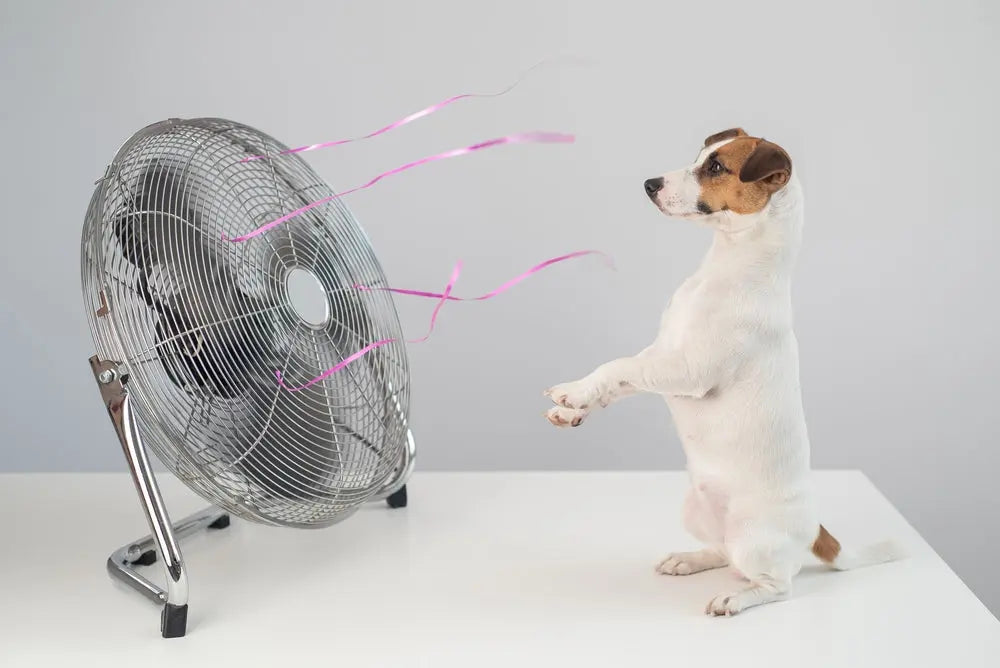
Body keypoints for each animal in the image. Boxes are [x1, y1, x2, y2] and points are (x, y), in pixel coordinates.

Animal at [544, 129, 904, 616]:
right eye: (699, 156)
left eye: (715, 167)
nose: (649, 184)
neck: (728, 266)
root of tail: (815, 530)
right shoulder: (660, 353)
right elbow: (618, 378)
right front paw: (574, 404)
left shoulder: (685, 370)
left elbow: (620, 367)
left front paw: (575, 396)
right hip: (698, 515)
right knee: (721, 551)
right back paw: (689, 559)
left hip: (755, 540)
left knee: (776, 584)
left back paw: (735, 598)